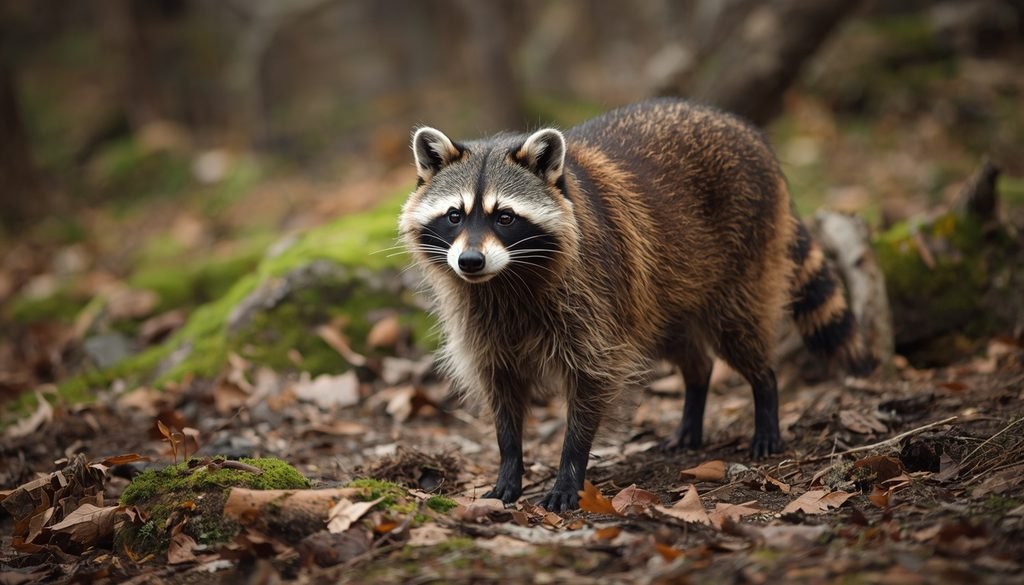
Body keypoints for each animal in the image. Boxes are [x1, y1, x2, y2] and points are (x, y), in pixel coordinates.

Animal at [399, 98, 874, 512]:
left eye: (505, 217)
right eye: (455, 215)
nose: (470, 261)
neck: (505, 278)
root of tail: (746, 131)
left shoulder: (591, 298)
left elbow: (592, 379)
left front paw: (570, 468)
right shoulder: (481, 319)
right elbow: (501, 390)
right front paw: (509, 464)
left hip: (743, 252)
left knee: (739, 331)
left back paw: (765, 393)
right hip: (661, 292)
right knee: (691, 353)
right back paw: (695, 398)